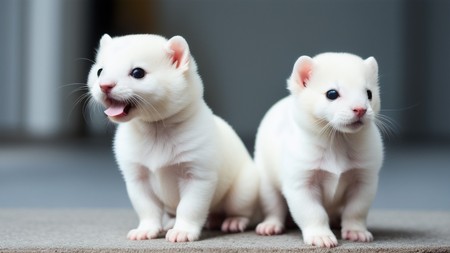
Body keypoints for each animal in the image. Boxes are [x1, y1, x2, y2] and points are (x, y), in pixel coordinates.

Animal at [86, 32, 258, 242]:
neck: (155, 130)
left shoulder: (198, 177)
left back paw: (234, 221)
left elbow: (189, 207)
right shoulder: (137, 179)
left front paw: (183, 230)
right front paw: (147, 228)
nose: (104, 86)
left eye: (138, 73)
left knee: (241, 210)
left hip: (243, 190)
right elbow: (147, 208)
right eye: (99, 71)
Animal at [253, 52, 384, 248]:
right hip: (266, 183)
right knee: (273, 207)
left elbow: (356, 209)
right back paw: (271, 225)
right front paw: (320, 235)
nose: (361, 109)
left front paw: (356, 231)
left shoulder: (364, 181)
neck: (337, 141)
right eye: (332, 94)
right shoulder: (301, 184)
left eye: (369, 93)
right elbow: (313, 212)